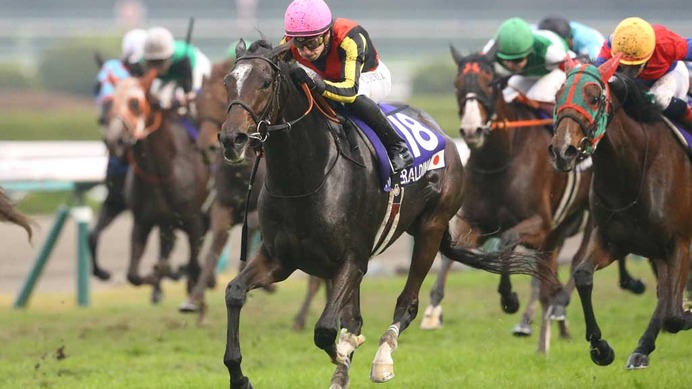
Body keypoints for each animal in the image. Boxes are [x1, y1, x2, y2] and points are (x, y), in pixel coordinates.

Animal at [102, 68, 209, 300]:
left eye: (134, 103)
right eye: (111, 101)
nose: (113, 140)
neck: (163, 173)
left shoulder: (194, 222)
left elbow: (194, 266)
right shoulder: (143, 222)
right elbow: (133, 275)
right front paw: (157, 275)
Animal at [216, 39, 548, 388]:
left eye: (266, 82)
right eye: (227, 82)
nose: (232, 139)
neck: (306, 178)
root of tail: (442, 134)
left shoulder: (352, 260)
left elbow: (326, 330)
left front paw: (343, 352)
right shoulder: (279, 259)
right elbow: (234, 293)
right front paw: (239, 375)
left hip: (431, 228)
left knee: (407, 303)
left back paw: (382, 359)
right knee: (355, 317)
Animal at [552, 54, 692, 366]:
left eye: (594, 98)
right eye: (557, 96)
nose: (562, 150)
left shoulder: (680, 242)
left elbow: (675, 315)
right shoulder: (613, 240)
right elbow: (582, 275)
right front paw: (601, 347)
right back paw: (641, 349)